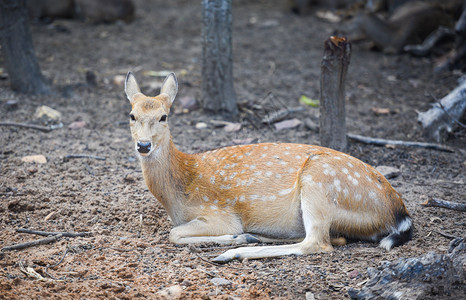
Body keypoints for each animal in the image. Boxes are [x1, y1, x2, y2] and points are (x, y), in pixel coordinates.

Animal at [125, 71, 414, 262]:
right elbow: (174, 233)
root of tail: (398, 212)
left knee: (317, 243)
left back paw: (233, 252)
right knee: (332, 238)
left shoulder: (219, 214)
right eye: (132, 115)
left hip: (319, 182)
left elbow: (174, 234)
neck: (180, 188)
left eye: (164, 116)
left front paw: (234, 239)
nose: (144, 145)